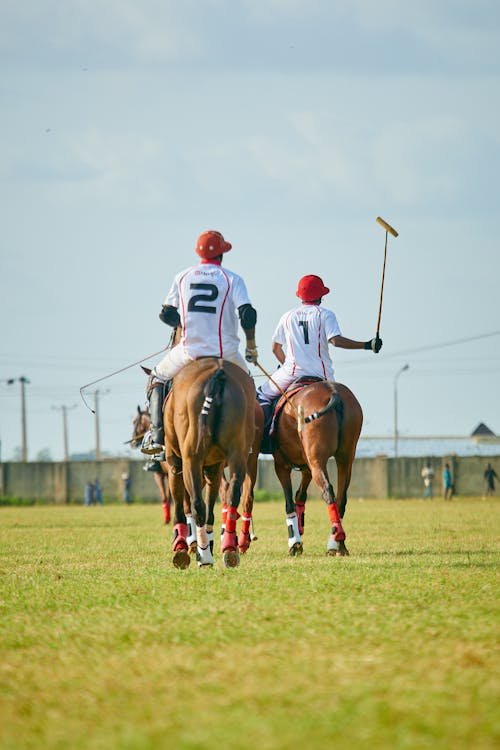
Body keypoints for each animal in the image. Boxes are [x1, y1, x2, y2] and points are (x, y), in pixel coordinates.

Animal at [164, 358, 258, 568]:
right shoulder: (215, 465)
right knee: (234, 494)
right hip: (239, 453)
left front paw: (182, 546)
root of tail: (218, 376)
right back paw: (230, 548)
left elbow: (182, 502)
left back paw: (204, 555)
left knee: (197, 504)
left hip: (190, 458)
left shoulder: (175, 460)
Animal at [270, 382, 364, 560]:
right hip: (345, 458)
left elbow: (289, 503)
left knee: (328, 490)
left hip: (317, 461)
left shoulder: (281, 465)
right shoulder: (306, 467)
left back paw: (337, 536)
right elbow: (300, 495)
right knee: (341, 497)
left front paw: (295, 544)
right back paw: (338, 545)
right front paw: (299, 532)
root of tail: (333, 392)